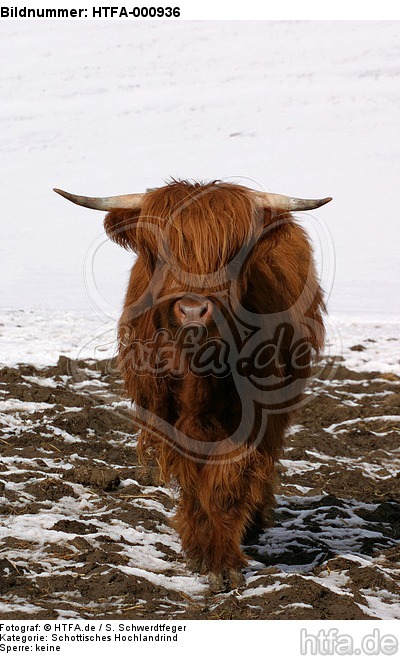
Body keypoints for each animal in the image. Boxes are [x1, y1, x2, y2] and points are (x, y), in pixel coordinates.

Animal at [55, 180, 331, 592]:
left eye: (231, 254)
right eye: (163, 251)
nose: (192, 310)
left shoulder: (251, 419)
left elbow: (226, 484)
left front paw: (222, 562)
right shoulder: (167, 417)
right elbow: (191, 477)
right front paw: (200, 550)